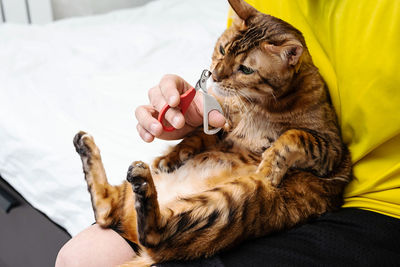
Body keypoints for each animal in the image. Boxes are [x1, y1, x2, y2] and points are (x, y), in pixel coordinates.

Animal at [73, 1, 352, 266]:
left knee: (151, 233)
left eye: (246, 69)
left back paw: (140, 182)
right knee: (108, 210)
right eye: (223, 49)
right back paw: (87, 146)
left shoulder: (332, 149)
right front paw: (172, 156)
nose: (215, 76)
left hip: (231, 202)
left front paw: (270, 164)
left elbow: (294, 135)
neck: (257, 106)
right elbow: (197, 135)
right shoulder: (222, 126)